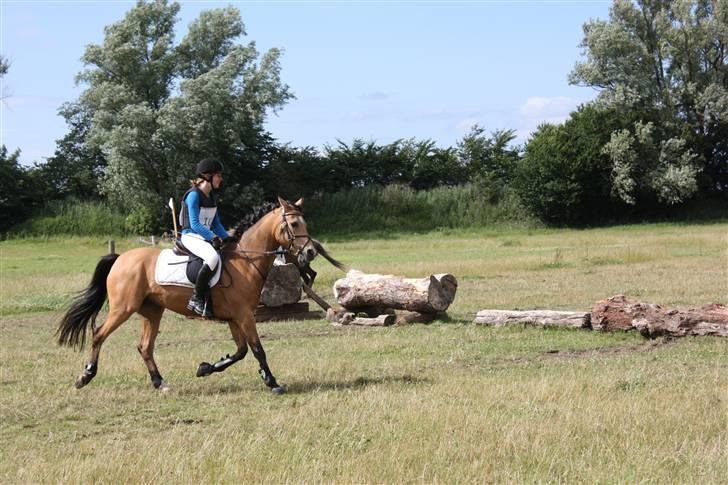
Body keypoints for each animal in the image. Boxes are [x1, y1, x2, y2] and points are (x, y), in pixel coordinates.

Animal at [55, 195, 318, 392]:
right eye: (294, 224)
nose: (311, 252)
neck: (246, 260)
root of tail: (120, 258)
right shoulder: (244, 316)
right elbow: (256, 349)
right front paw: (272, 382)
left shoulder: (235, 318)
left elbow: (241, 351)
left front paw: (205, 368)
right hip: (123, 308)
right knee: (99, 334)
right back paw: (85, 376)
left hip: (152, 310)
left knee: (145, 347)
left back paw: (160, 383)